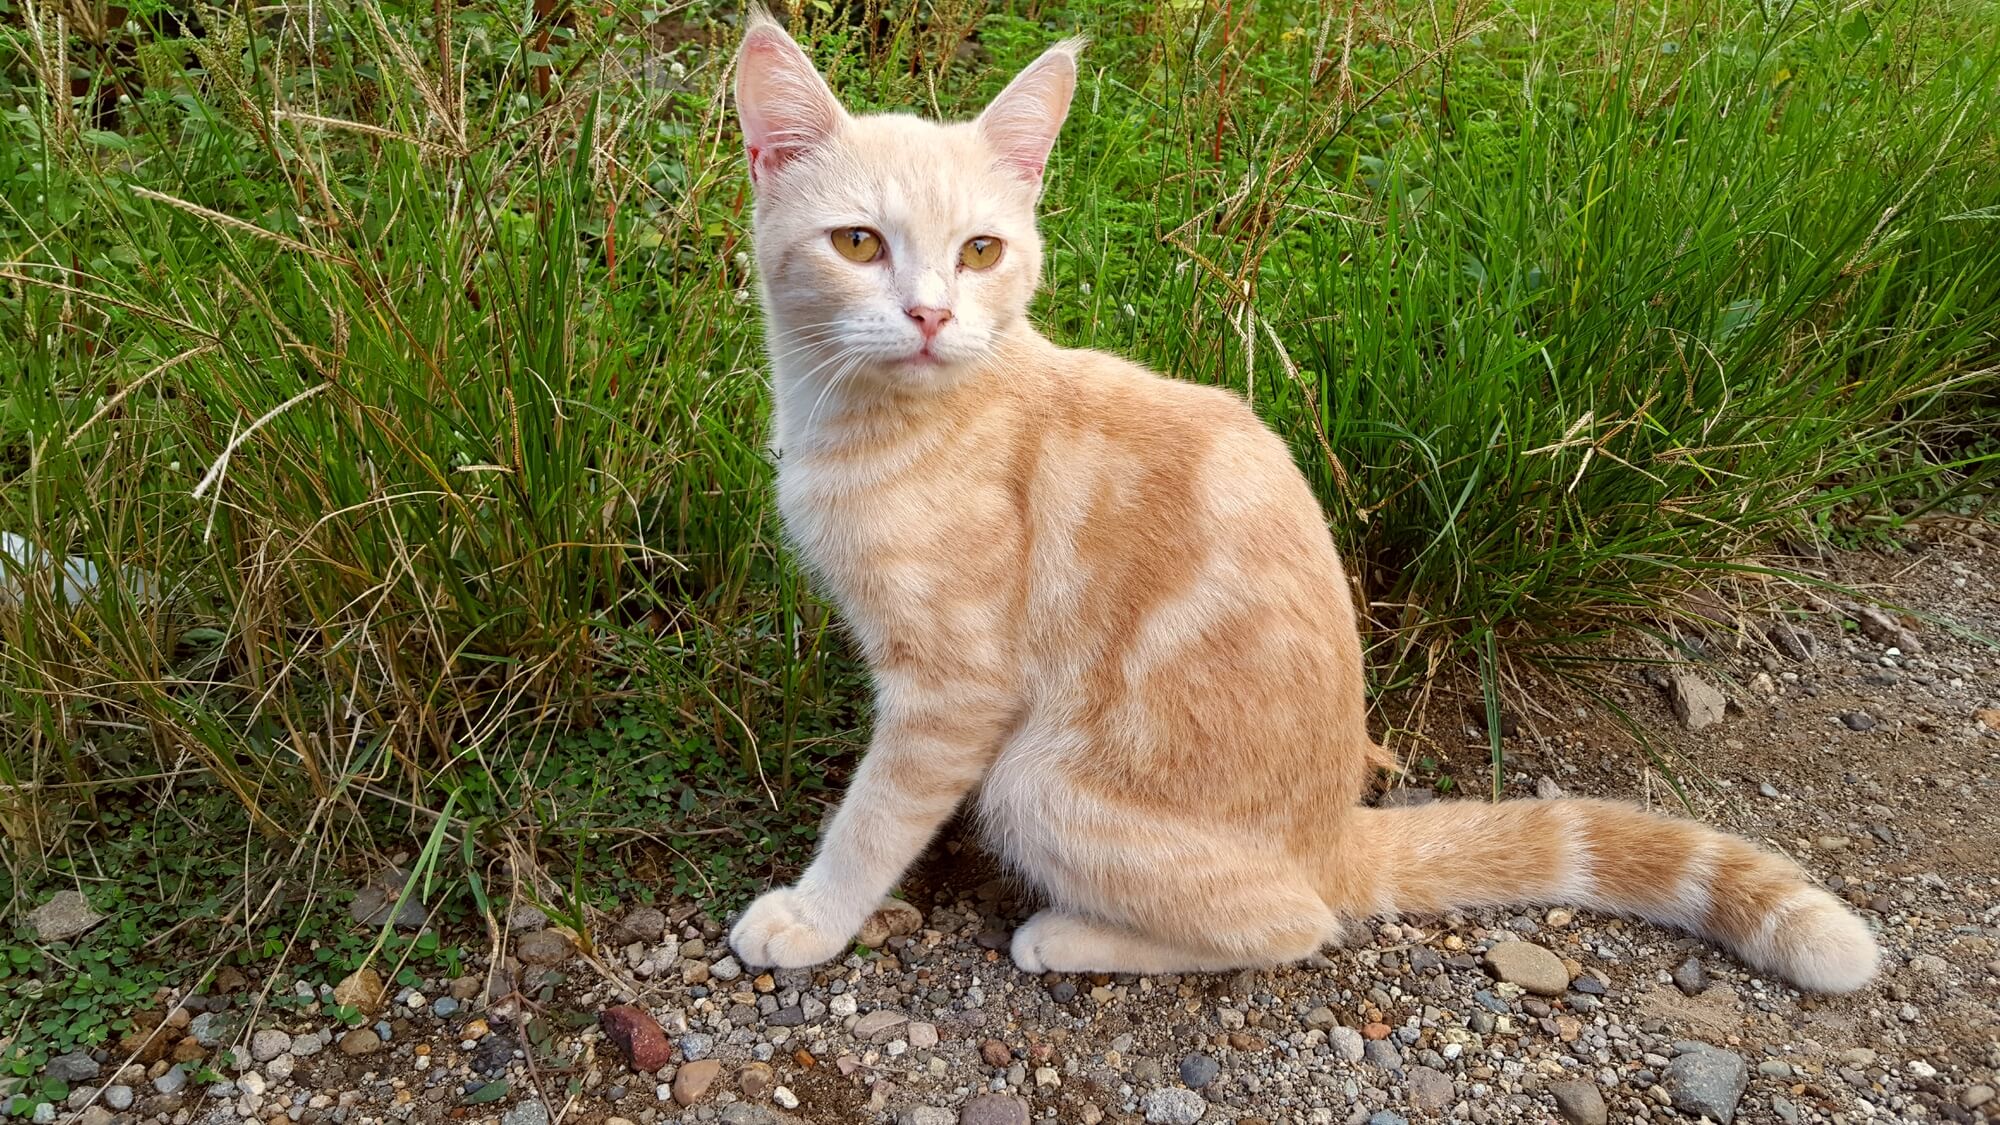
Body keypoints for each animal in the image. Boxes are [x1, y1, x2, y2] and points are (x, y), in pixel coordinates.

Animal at [728, 10, 1880, 988]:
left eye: (980, 251)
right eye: (859, 243)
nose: (929, 315)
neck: (875, 421)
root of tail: (1334, 831)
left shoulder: (954, 692)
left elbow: (876, 817)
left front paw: (812, 917)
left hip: (1033, 781)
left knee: (1294, 923)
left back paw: (1073, 934)